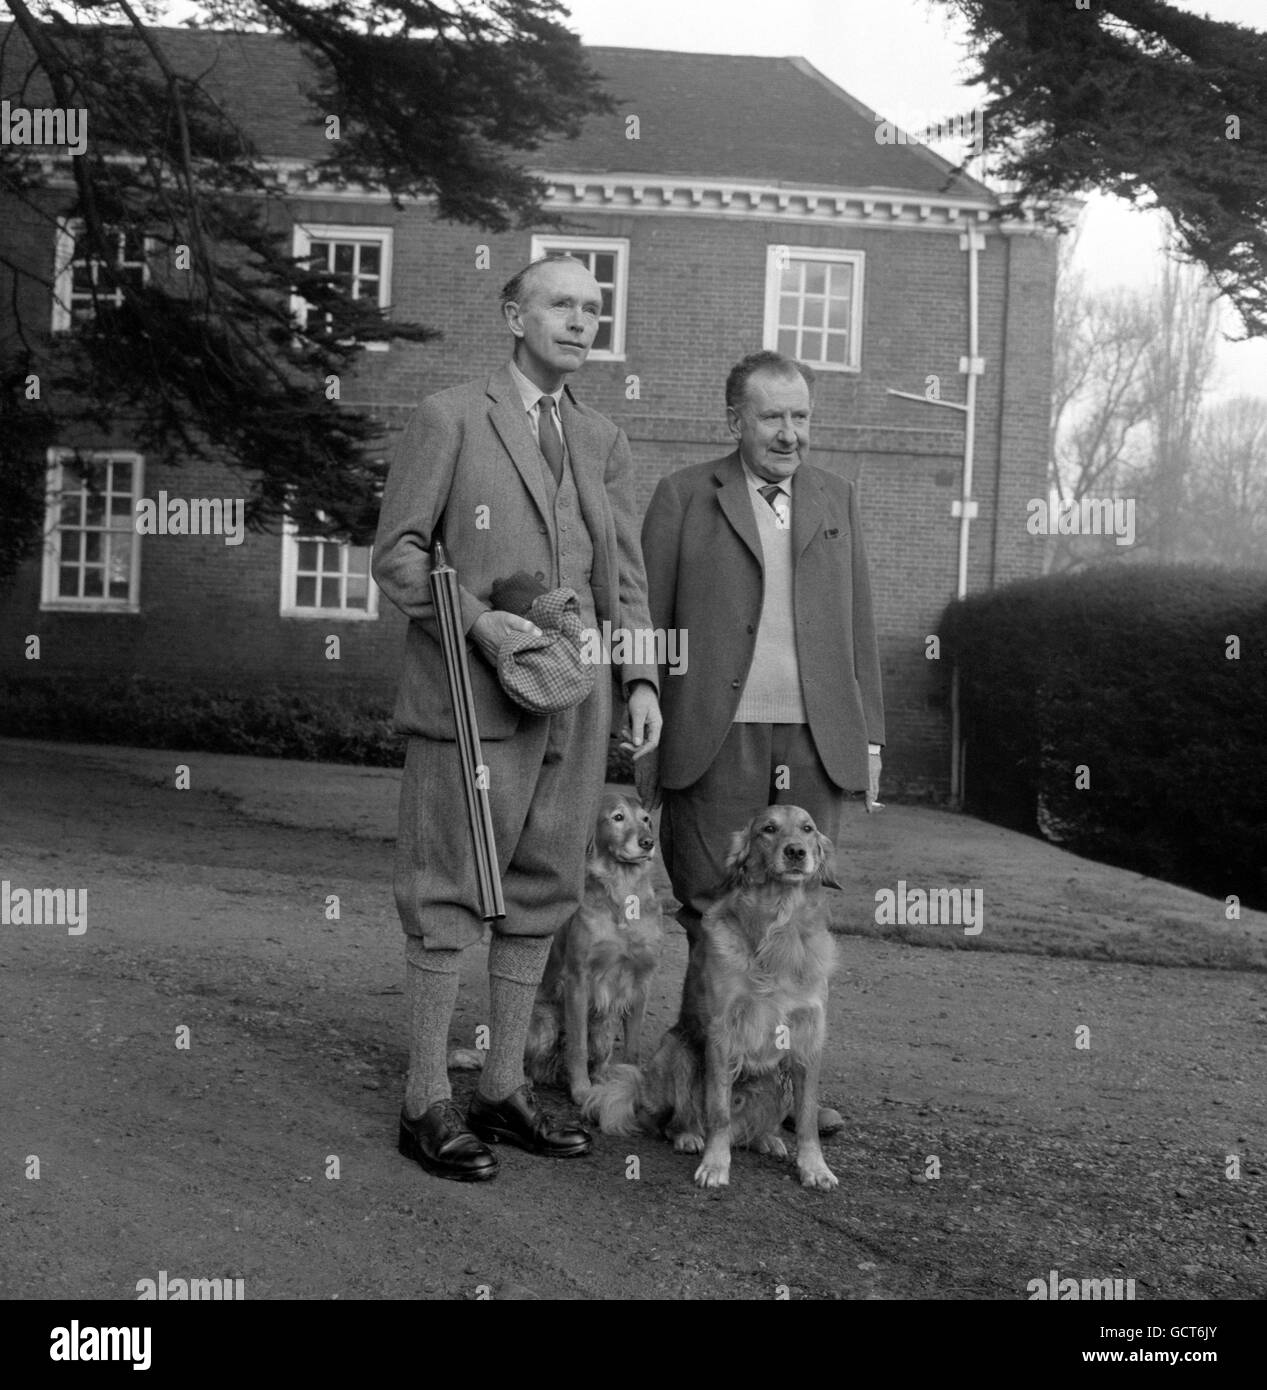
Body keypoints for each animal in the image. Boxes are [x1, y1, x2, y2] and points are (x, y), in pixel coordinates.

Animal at [525, 795, 664, 1106]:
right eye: (617, 818)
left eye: (646, 819)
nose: (648, 842)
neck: (624, 894)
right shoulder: (578, 978)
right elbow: (578, 1045)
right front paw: (581, 1090)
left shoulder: (642, 981)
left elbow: (633, 1046)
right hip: (545, 1024)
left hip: (604, 1026)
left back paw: (603, 1080)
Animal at [583, 811, 839, 1189]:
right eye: (769, 829)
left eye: (807, 828)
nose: (796, 852)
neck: (778, 925)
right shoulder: (722, 1033)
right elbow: (719, 1111)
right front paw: (716, 1165)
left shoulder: (808, 1037)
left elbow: (806, 1116)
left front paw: (815, 1167)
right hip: (678, 1053)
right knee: (672, 1123)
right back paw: (689, 1136)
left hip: (776, 1080)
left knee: (749, 1130)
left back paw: (766, 1139)